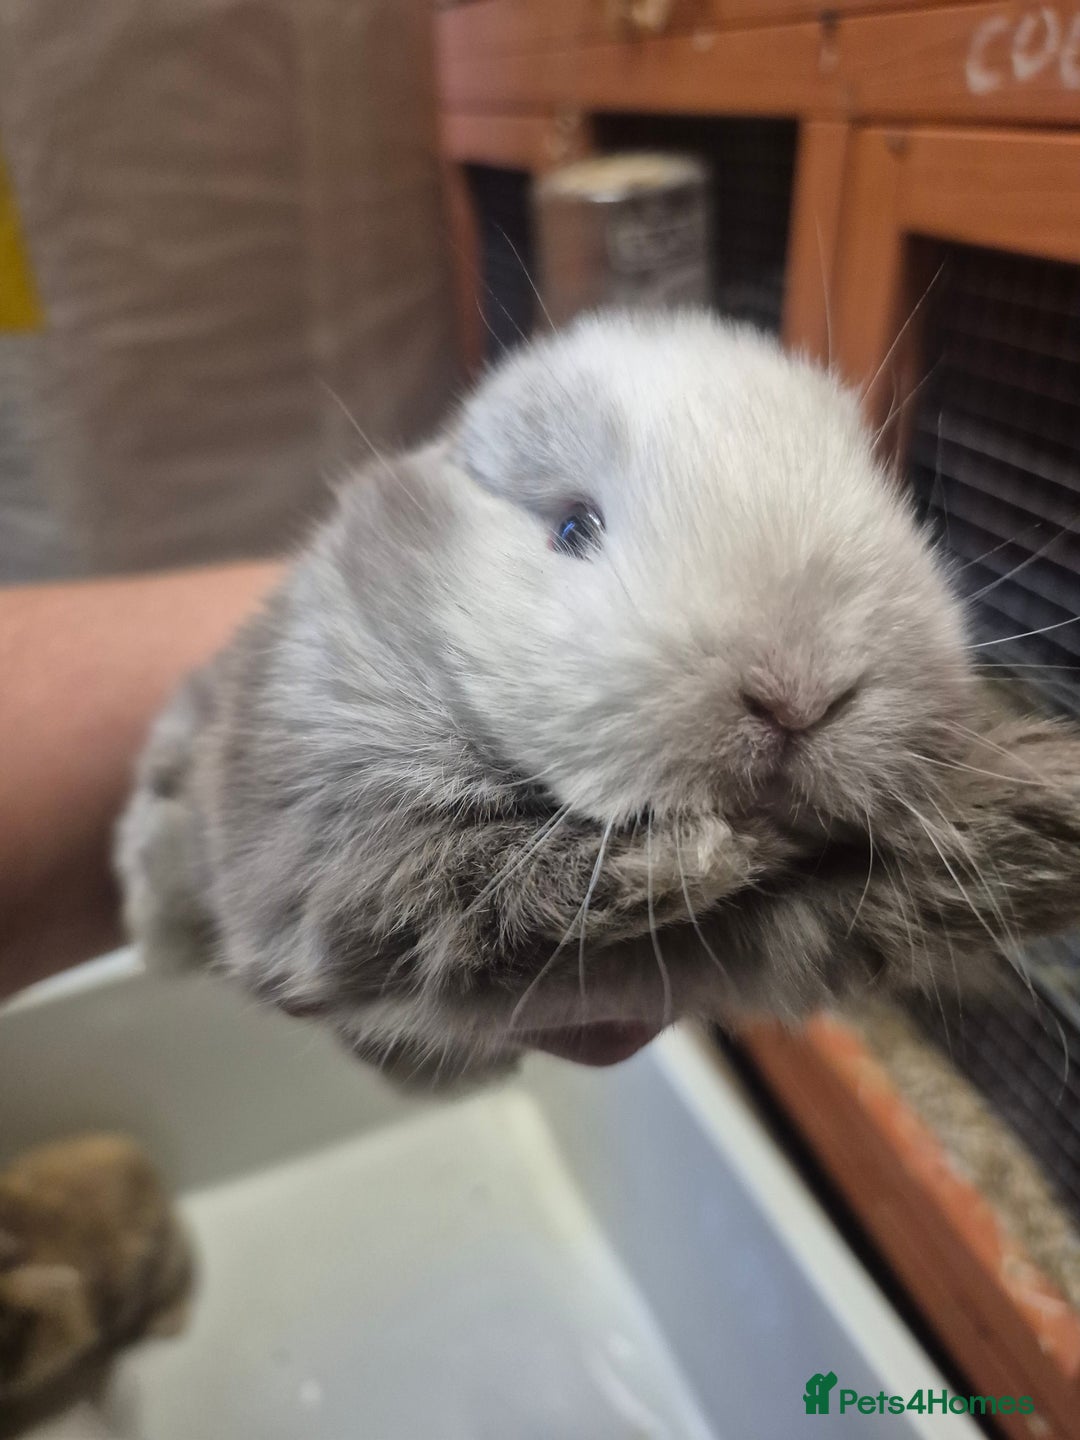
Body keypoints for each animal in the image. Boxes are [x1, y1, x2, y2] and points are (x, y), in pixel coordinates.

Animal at [116, 309, 1080, 1087]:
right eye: (574, 528)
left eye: (886, 497)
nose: (796, 695)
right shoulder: (346, 848)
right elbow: (481, 885)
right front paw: (706, 854)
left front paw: (1045, 809)